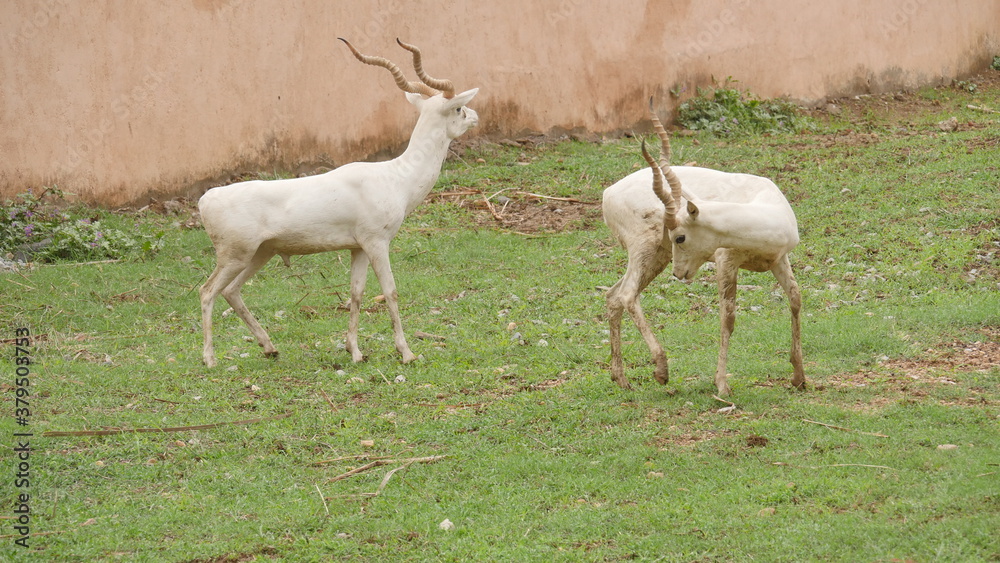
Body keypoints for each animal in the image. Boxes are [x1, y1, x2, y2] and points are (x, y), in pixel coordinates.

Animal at [198, 39, 479, 368]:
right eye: (458, 107)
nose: (475, 116)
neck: (395, 177)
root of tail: (205, 200)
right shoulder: (377, 242)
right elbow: (391, 292)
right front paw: (406, 352)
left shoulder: (358, 248)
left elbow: (356, 294)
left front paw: (354, 351)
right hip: (234, 256)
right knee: (207, 291)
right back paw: (210, 359)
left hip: (259, 254)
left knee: (231, 291)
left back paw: (269, 347)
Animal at [602, 100, 804, 395]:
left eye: (680, 237)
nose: (678, 274)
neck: (765, 206)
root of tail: (608, 194)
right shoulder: (726, 262)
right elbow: (727, 319)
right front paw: (722, 385)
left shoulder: (779, 259)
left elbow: (795, 299)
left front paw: (799, 377)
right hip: (645, 248)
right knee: (627, 294)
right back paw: (661, 370)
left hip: (657, 257)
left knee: (613, 295)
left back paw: (621, 379)